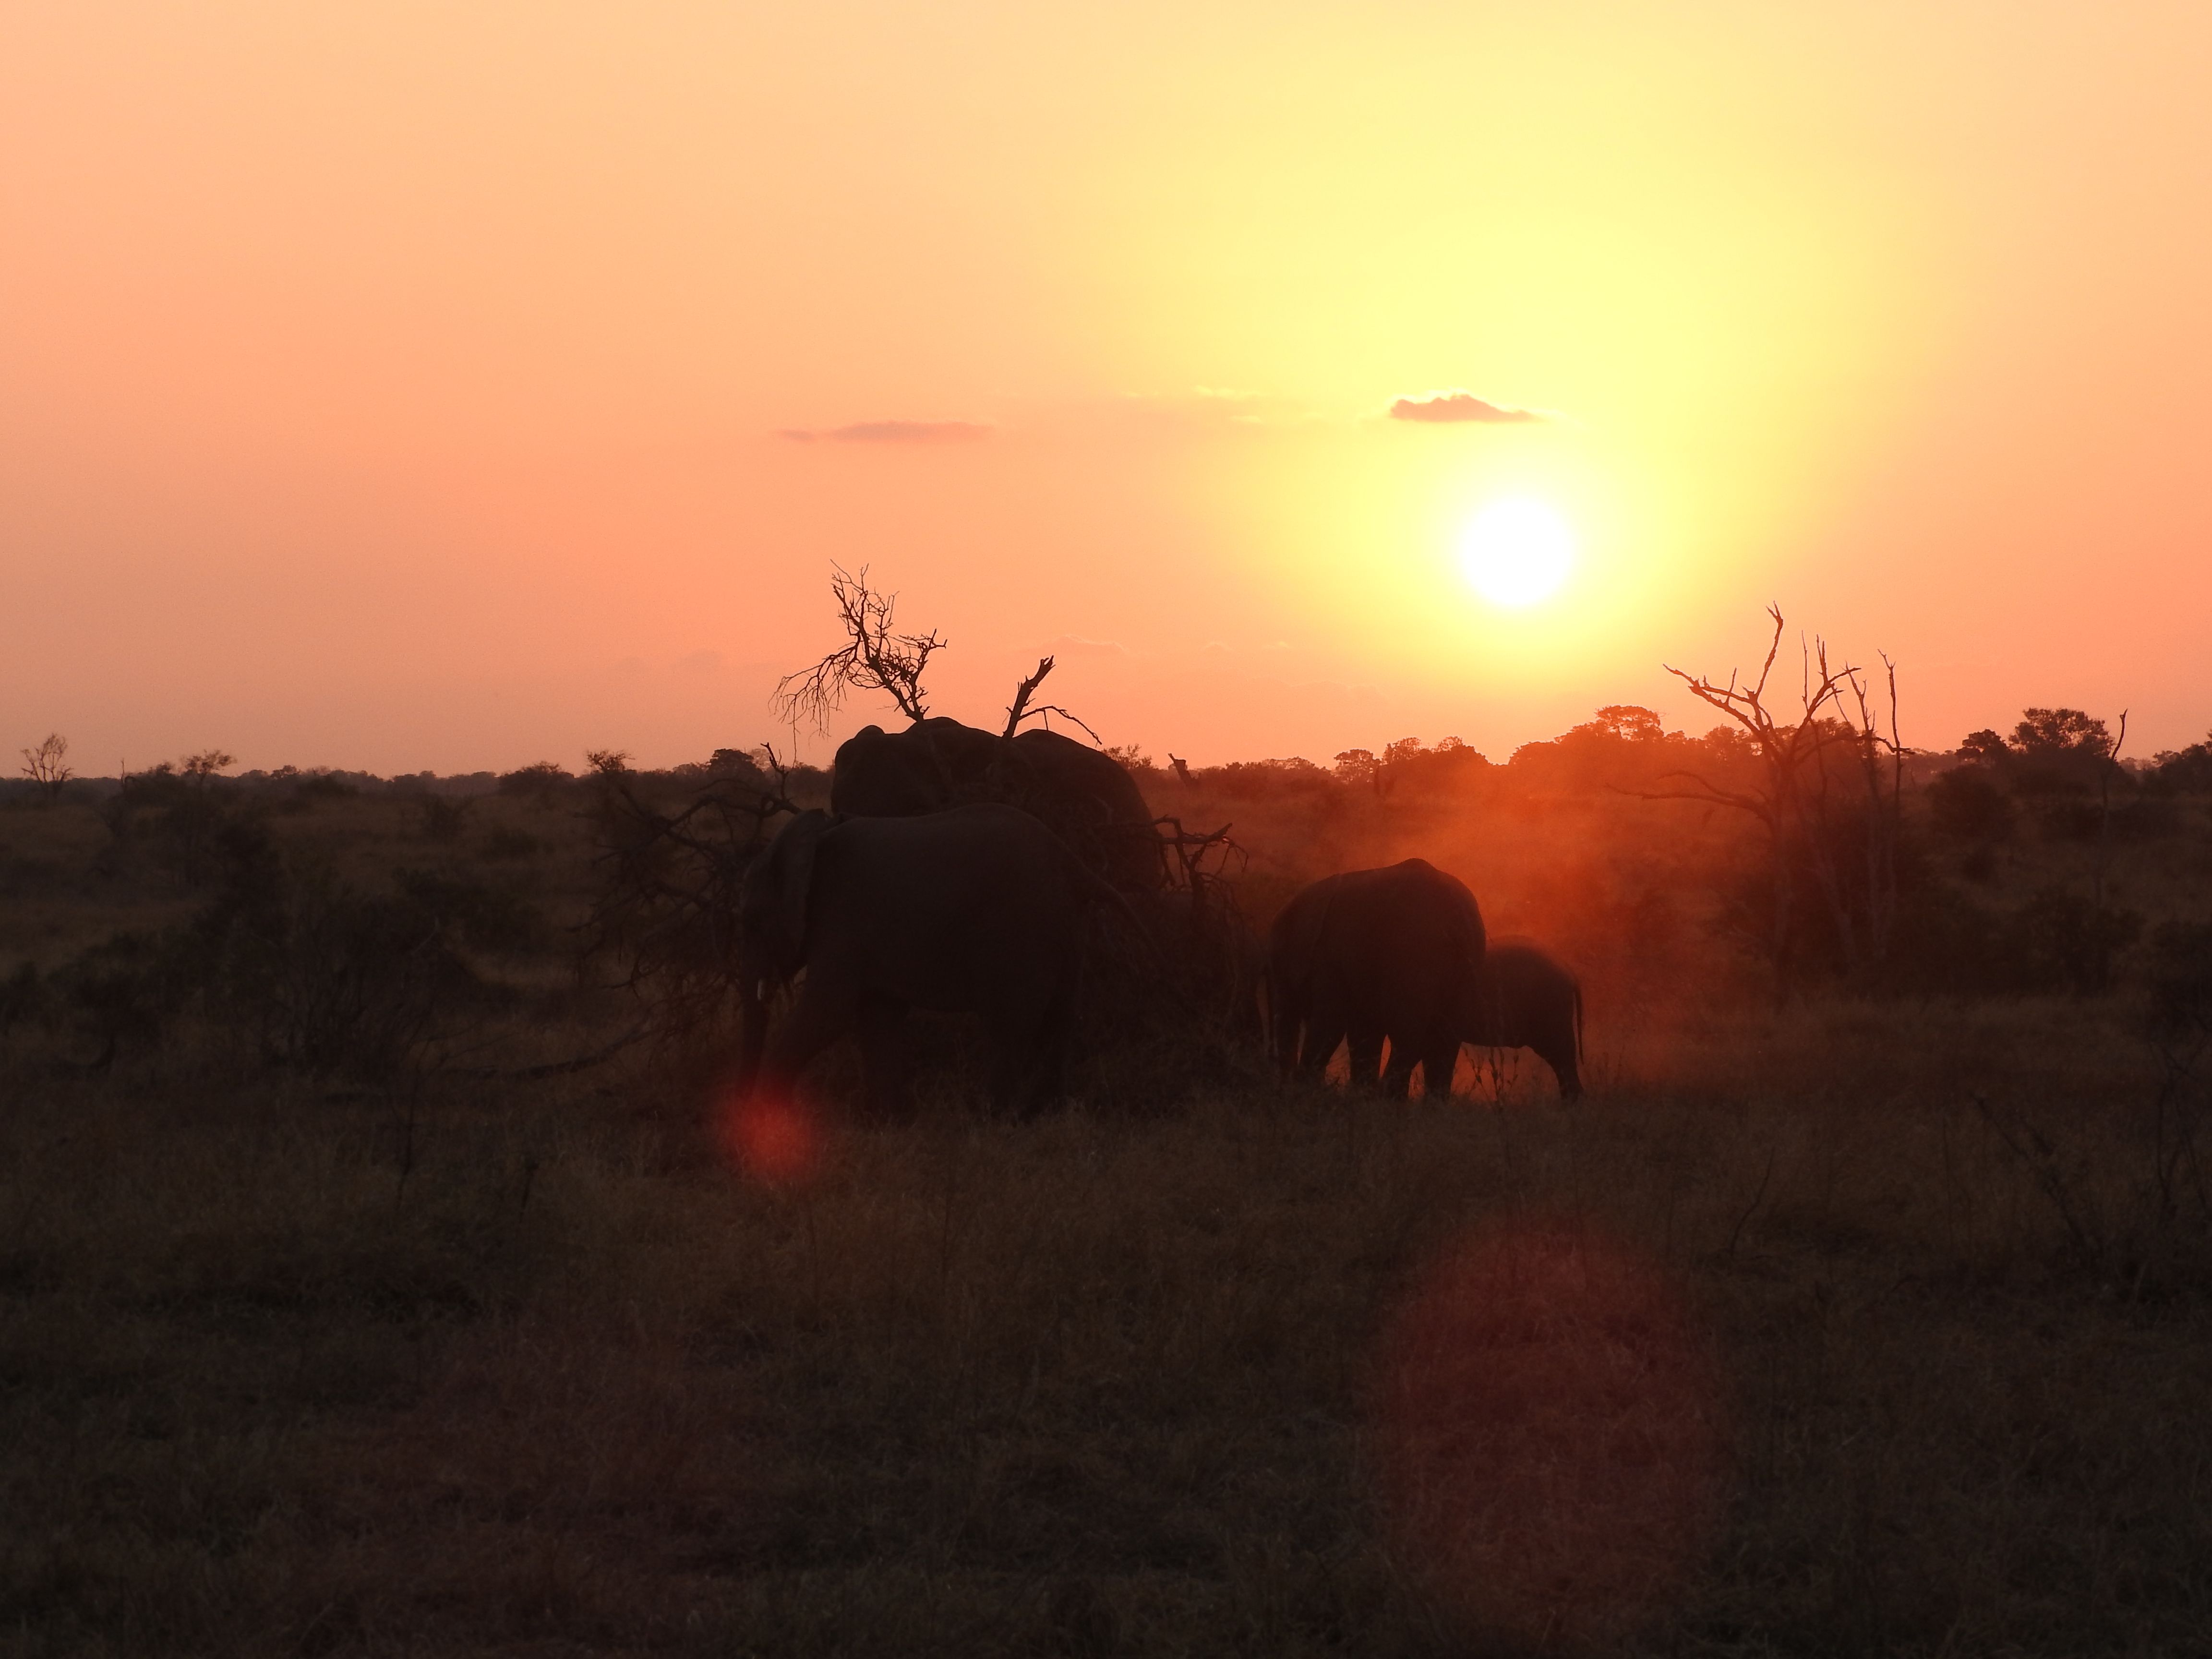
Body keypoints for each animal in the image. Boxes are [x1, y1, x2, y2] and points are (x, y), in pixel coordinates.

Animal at [739, 801, 1132, 1119]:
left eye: (752, 921)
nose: (742, 1112)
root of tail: (1077, 866)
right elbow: (879, 1017)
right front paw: (887, 1121)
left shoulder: (841, 920)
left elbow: (829, 1013)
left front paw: (766, 1119)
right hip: (1066, 927)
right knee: (1061, 1019)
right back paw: (1044, 1115)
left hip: (1020, 930)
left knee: (1010, 1027)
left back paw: (997, 1119)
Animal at [1265, 858, 1486, 1106]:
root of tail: (1460, 921)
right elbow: (1363, 1033)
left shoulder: (1331, 960)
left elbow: (1331, 1024)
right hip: (1458, 965)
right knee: (1442, 1039)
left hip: (1415, 956)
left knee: (1411, 1038)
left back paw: (1390, 1100)